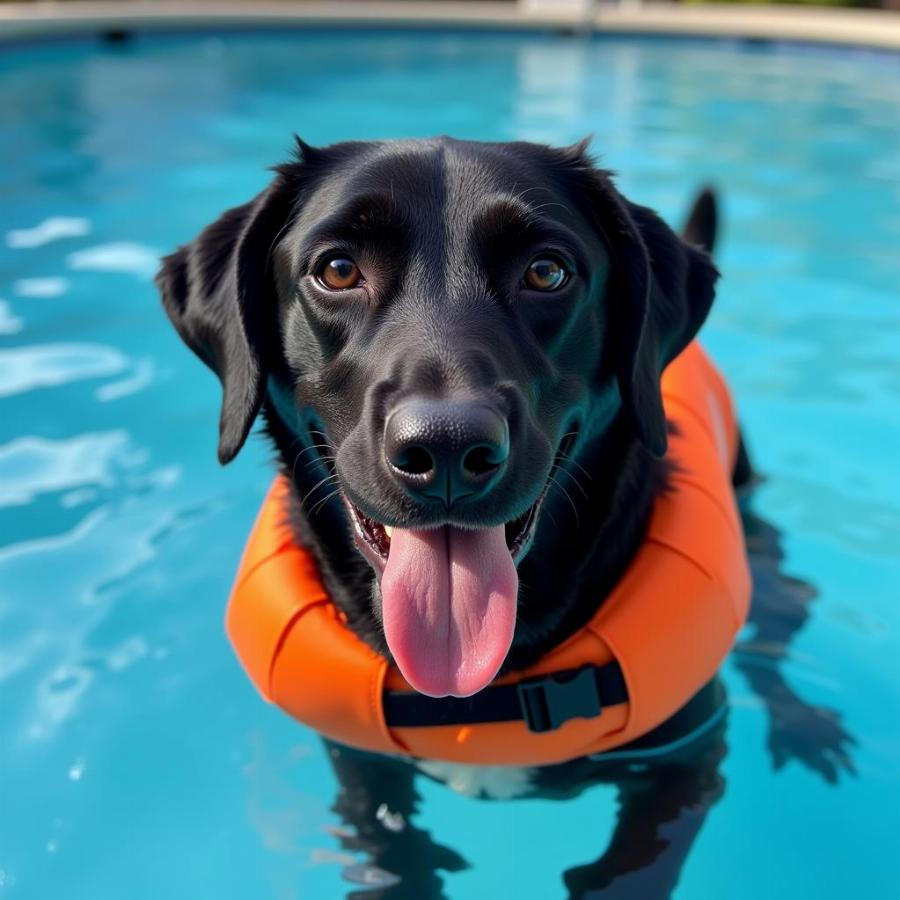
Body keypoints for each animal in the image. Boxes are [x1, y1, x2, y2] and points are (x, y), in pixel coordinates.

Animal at [158, 137, 856, 896]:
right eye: (337, 270)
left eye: (546, 271)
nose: (445, 447)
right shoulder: (361, 772)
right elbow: (396, 861)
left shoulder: (684, 763)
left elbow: (631, 871)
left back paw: (805, 724)